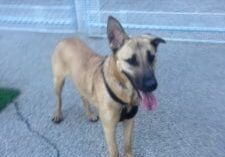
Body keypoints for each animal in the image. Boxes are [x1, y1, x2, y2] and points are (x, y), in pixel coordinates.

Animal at [52, 16, 165, 157]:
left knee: (83, 96)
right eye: (131, 61)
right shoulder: (109, 129)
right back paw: (57, 114)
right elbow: (115, 152)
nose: (152, 85)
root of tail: (66, 39)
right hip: (58, 81)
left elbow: (128, 146)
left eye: (151, 57)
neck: (122, 90)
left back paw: (90, 114)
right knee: (58, 99)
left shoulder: (129, 122)